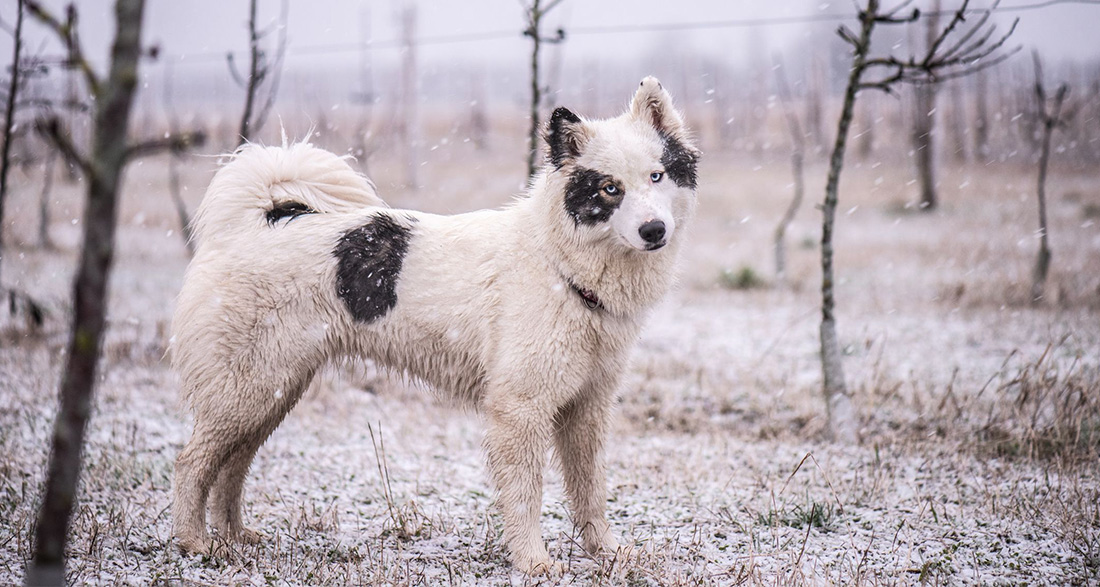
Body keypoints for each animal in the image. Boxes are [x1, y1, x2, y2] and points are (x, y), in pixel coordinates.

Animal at [169, 76, 704, 576]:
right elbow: (526, 496)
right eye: (609, 189)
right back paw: (196, 544)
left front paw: (608, 553)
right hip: (247, 390)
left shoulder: (587, 409)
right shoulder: (520, 410)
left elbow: (591, 492)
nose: (654, 230)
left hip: (273, 392)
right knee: (191, 463)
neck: (559, 263)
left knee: (232, 466)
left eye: (657, 175)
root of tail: (252, 225)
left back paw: (235, 536)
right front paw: (534, 562)